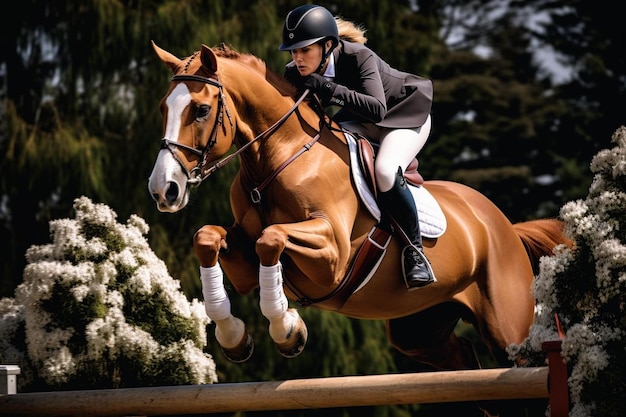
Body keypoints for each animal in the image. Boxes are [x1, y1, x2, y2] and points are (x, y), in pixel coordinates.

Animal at [149, 42, 568, 370]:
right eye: (163, 108)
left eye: (201, 110)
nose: (163, 190)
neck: (278, 156)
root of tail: (505, 226)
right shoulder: (243, 260)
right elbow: (208, 238)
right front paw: (234, 336)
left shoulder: (332, 255)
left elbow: (271, 238)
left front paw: (288, 330)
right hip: (420, 330)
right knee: (463, 356)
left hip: (507, 325)